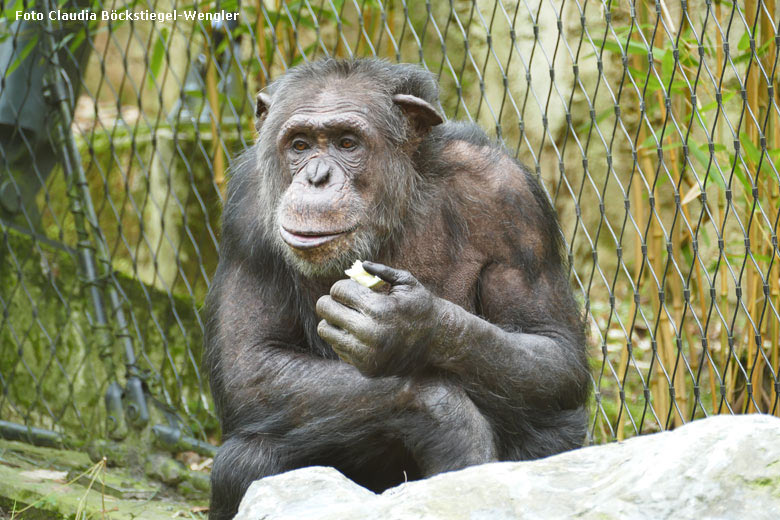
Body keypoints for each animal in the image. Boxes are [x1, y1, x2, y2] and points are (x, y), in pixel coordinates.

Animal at [204, 58, 588, 520]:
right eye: (299, 145)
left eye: (347, 143)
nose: (316, 176)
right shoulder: (245, 209)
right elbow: (253, 364)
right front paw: (447, 420)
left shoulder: (511, 201)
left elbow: (554, 351)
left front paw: (410, 326)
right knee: (245, 463)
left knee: (553, 427)